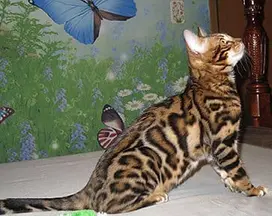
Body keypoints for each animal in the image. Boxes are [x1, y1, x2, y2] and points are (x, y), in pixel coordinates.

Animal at [0, 28, 268, 214]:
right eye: (224, 41)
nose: (242, 40)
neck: (214, 84)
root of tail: (88, 188)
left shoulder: (214, 148)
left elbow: (223, 170)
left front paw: (232, 185)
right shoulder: (223, 142)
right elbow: (238, 169)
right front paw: (252, 189)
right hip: (146, 160)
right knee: (107, 208)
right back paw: (156, 196)